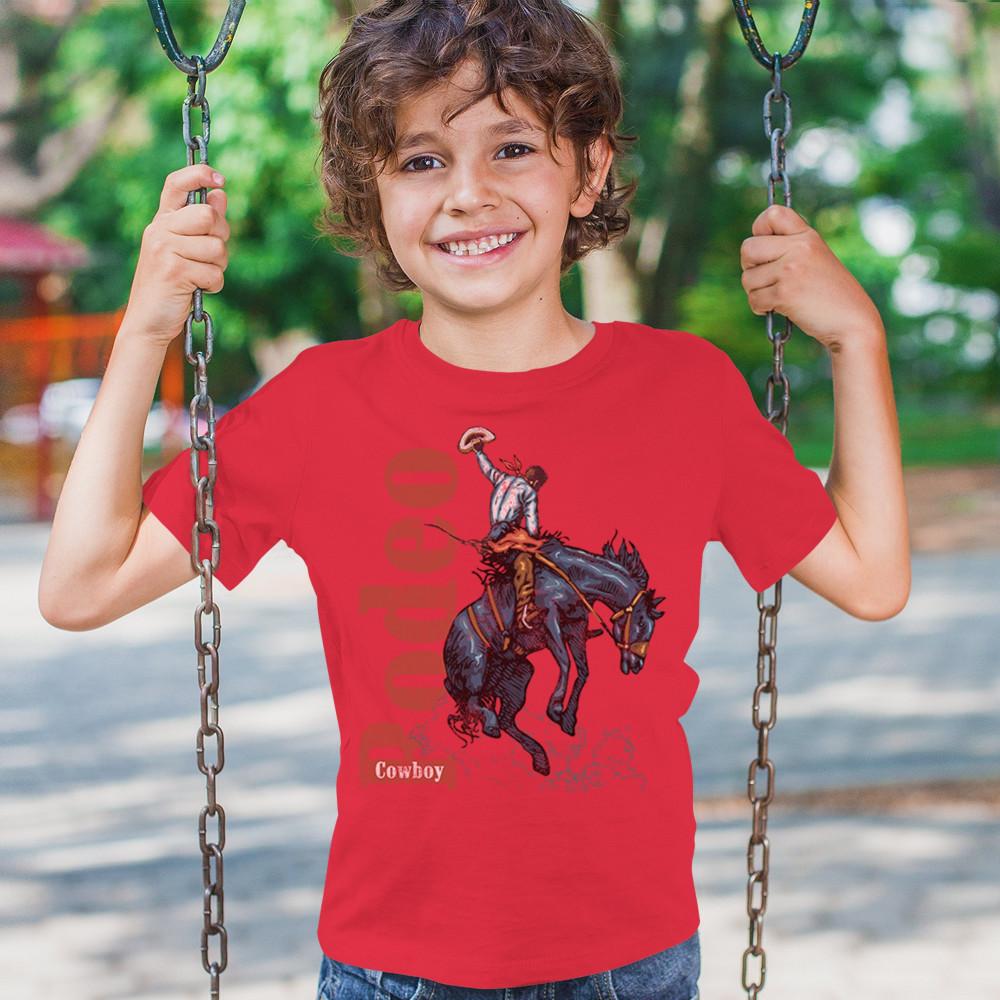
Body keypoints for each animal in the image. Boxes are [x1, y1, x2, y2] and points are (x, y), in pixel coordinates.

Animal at [442, 535, 664, 775]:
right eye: (640, 623)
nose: (637, 665)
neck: (574, 578)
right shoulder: (551, 621)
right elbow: (566, 663)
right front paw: (556, 709)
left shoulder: (576, 627)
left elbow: (583, 671)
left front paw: (567, 720)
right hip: (476, 667)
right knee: (467, 697)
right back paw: (491, 725)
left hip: (518, 676)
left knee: (505, 719)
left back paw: (540, 759)